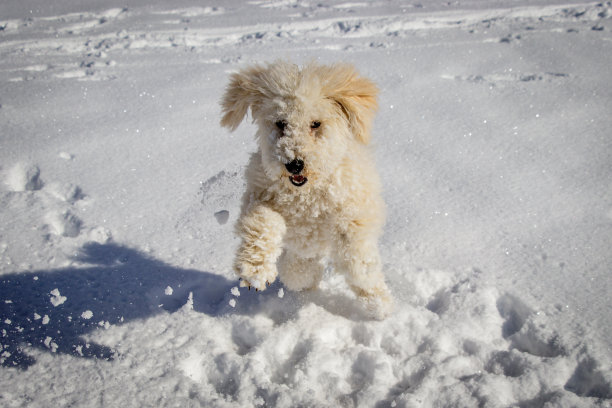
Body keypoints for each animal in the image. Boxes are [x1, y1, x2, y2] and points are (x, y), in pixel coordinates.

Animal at [220, 60, 392, 318]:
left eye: (316, 124)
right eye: (281, 123)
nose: (294, 164)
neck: (306, 196)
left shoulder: (352, 210)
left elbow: (357, 259)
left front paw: (377, 302)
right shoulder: (259, 195)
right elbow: (264, 222)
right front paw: (256, 269)